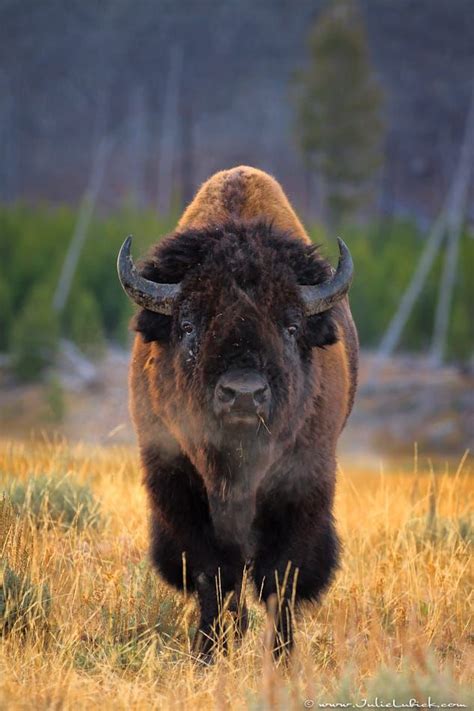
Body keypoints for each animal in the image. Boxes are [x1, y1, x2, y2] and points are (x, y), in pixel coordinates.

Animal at [116, 167, 358, 660]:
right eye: (189, 324)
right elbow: (212, 573)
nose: (244, 395)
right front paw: (207, 653)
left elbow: (280, 578)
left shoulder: (302, 484)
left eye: (291, 326)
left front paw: (281, 658)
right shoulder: (177, 480)